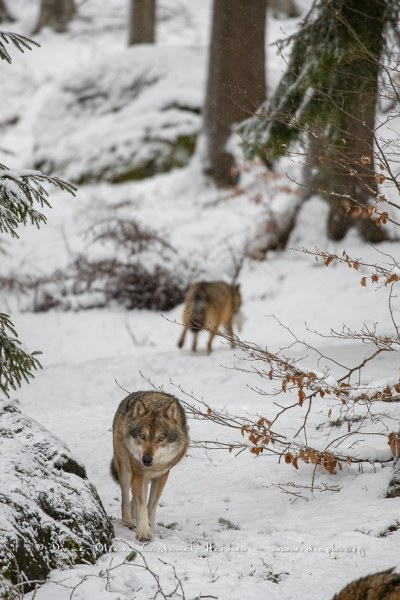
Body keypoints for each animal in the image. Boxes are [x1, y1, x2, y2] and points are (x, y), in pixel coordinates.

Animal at [110, 392, 190, 540]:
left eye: (161, 438)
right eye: (142, 436)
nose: (146, 460)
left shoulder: (162, 476)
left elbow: (151, 506)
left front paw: (150, 527)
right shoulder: (139, 474)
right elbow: (142, 505)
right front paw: (143, 531)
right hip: (125, 469)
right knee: (125, 497)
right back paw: (128, 521)